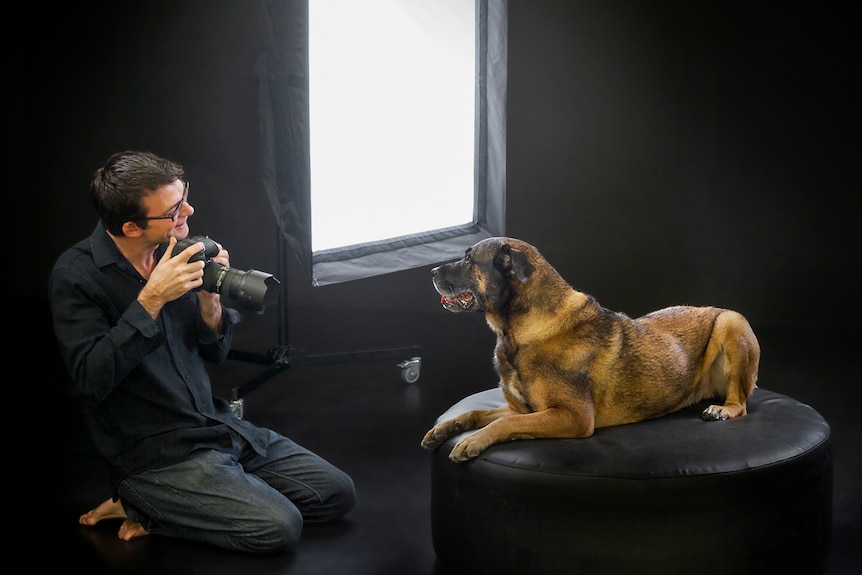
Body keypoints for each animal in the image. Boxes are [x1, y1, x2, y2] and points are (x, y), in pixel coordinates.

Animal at [422, 238, 760, 464]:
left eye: (469, 260)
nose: (433, 271)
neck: (522, 330)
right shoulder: (525, 409)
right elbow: (480, 413)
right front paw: (446, 428)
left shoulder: (573, 417)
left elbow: (506, 423)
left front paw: (474, 441)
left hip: (732, 322)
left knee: (740, 403)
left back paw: (722, 410)